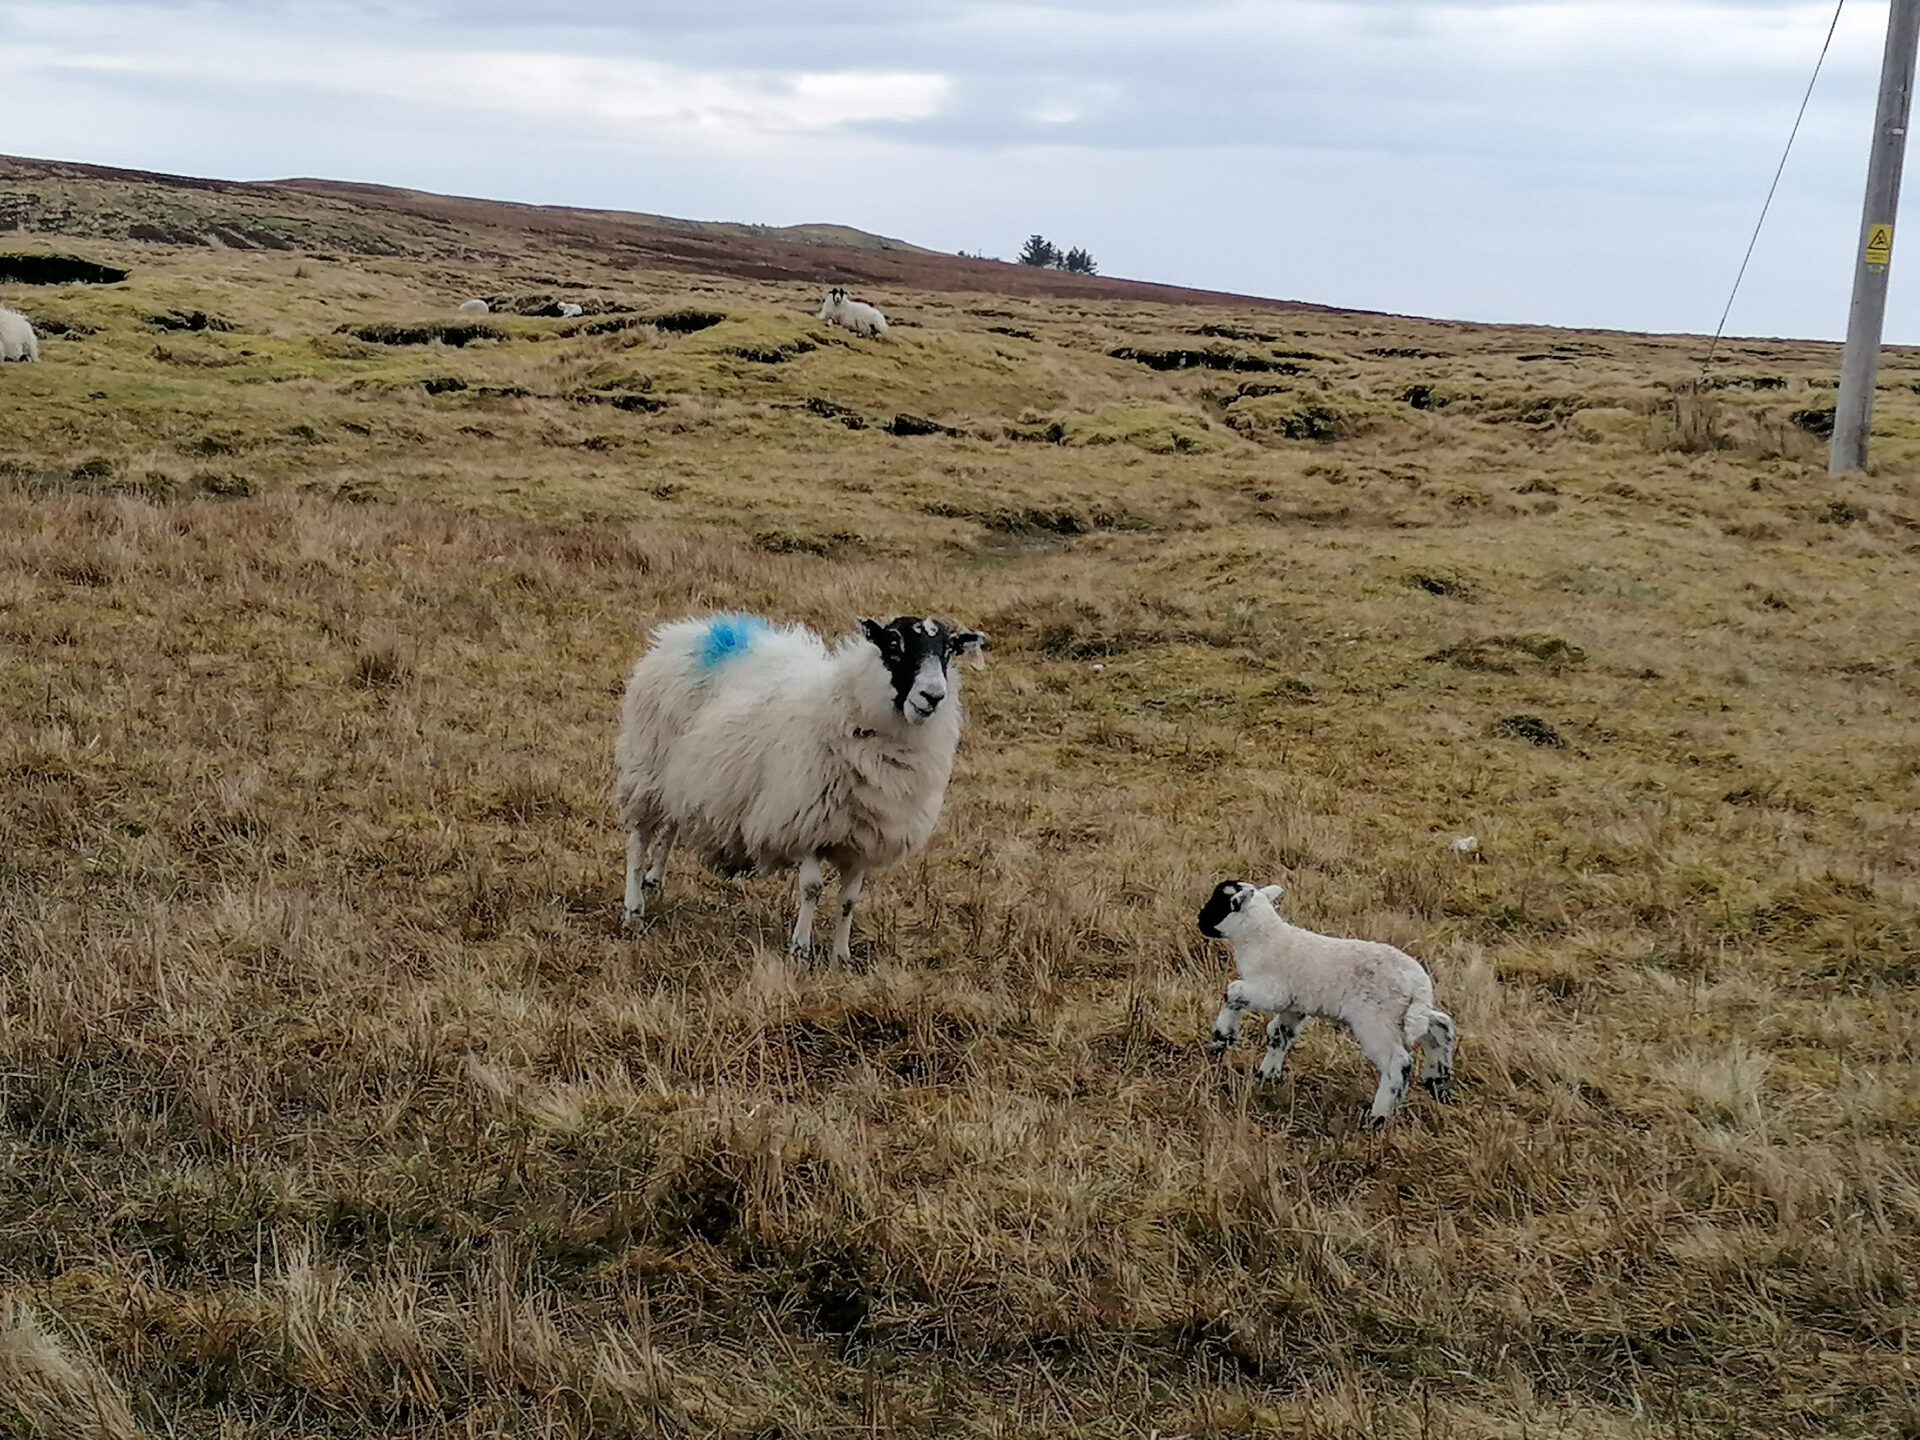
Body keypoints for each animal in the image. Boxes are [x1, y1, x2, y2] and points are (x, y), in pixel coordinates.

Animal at [614, 610, 990, 960]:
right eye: (894, 645)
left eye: (948, 651)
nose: (933, 696)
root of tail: (695, 631)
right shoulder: (800, 822)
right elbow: (812, 888)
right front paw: (800, 948)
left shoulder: (865, 838)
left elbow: (848, 900)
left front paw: (841, 956)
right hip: (648, 768)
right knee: (640, 837)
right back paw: (633, 907)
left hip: (681, 777)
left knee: (671, 825)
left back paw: (655, 879)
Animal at [1198, 879, 1451, 1128]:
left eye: (1217, 904)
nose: (1200, 921)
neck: (1262, 937)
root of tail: (1419, 983)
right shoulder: (1295, 1006)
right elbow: (1279, 1035)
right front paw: (1267, 1075)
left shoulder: (1273, 992)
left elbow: (1233, 992)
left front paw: (1222, 1038)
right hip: (1405, 1014)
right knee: (1440, 1025)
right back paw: (1437, 1080)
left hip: (1375, 1019)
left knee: (1398, 1062)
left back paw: (1377, 1117)